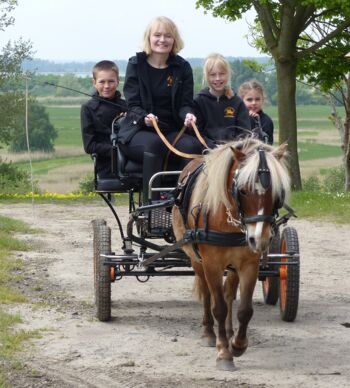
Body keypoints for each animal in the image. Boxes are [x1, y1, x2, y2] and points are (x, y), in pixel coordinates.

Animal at [172, 138, 290, 372]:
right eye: (242, 190)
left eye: (277, 193)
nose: (259, 239)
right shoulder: (212, 264)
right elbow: (218, 307)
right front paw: (224, 353)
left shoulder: (249, 265)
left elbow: (244, 309)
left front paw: (237, 344)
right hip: (196, 259)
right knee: (207, 294)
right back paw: (210, 333)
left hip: (233, 266)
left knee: (228, 295)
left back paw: (227, 332)